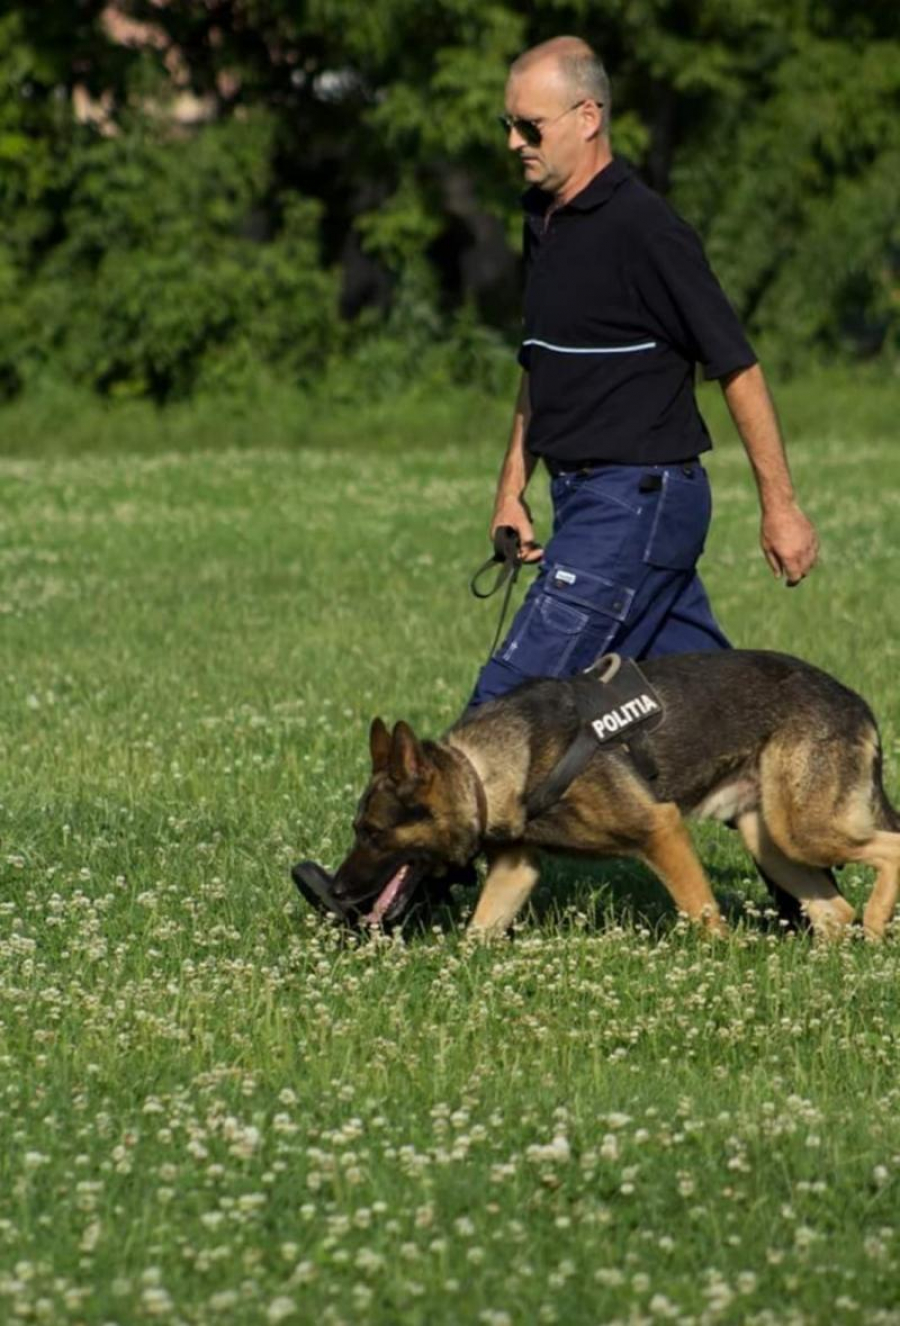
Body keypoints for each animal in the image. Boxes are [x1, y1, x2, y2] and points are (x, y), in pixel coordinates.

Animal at [315, 647, 900, 938]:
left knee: (889, 852)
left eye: (373, 834)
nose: (337, 891)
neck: (485, 773)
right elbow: (477, 934)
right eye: (357, 830)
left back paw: (875, 927)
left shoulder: (661, 829)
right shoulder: (516, 868)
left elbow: (702, 914)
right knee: (834, 913)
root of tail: (857, 701)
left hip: (803, 831)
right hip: (773, 840)